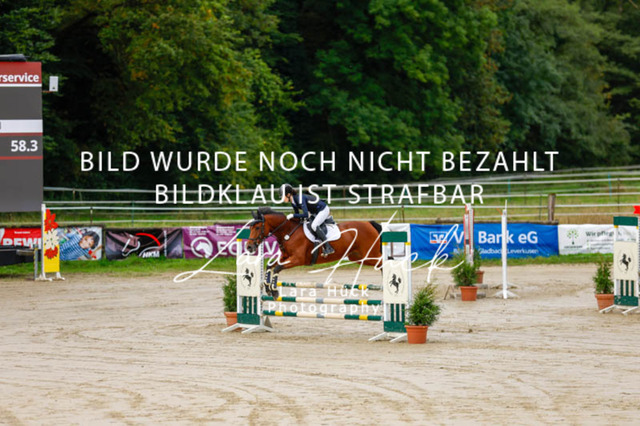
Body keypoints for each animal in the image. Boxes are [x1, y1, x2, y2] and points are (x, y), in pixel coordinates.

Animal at [245, 207, 383, 296]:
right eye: (250, 227)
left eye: (257, 227)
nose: (249, 247)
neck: (288, 232)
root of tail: (369, 223)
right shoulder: (285, 257)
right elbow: (270, 265)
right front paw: (268, 288)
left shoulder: (297, 259)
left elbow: (277, 268)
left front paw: (274, 291)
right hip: (358, 257)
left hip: (370, 255)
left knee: (384, 262)